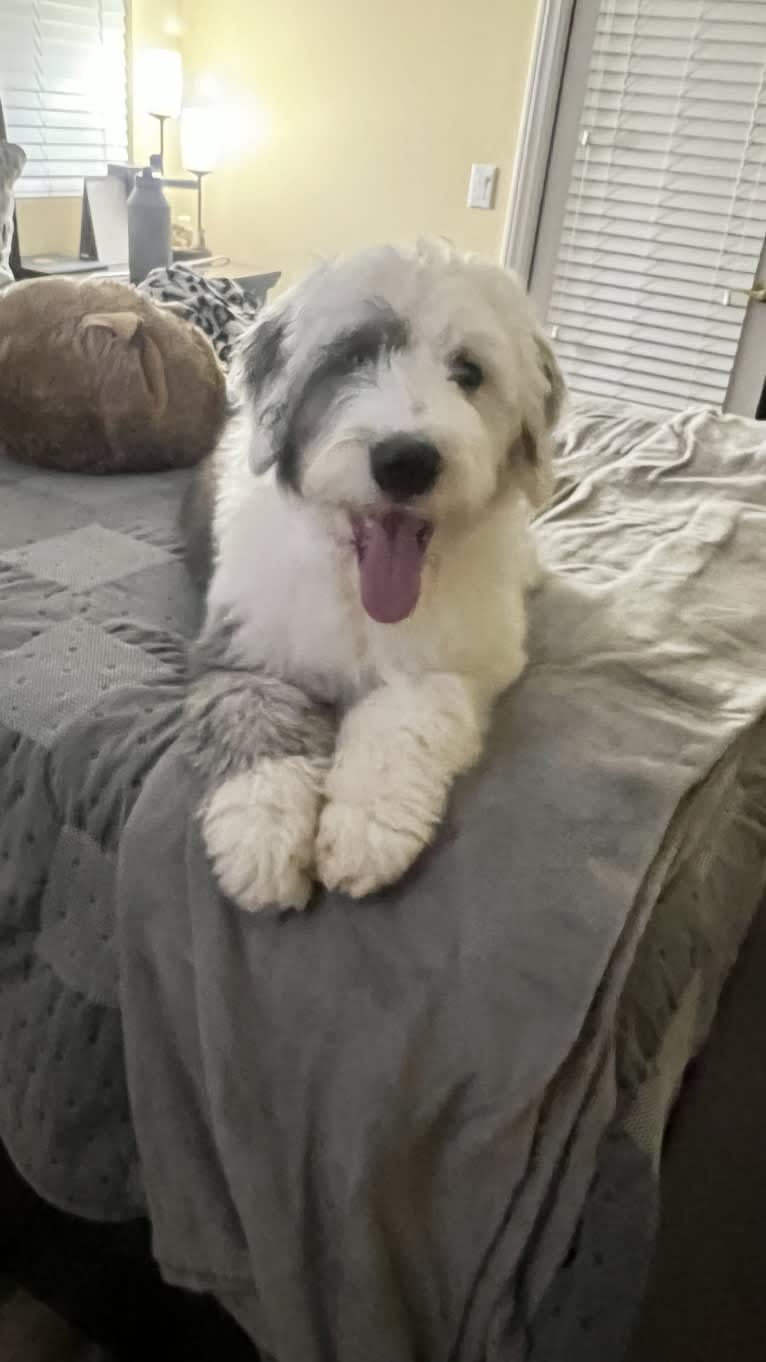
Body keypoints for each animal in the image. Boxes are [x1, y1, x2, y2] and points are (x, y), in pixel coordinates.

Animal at [182, 239, 564, 909]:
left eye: (469, 373)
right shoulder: (241, 649)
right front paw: (261, 840)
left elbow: (404, 717)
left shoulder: (459, 661)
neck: (358, 593)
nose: (405, 460)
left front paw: (367, 829)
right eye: (352, 357)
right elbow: (255, 723)